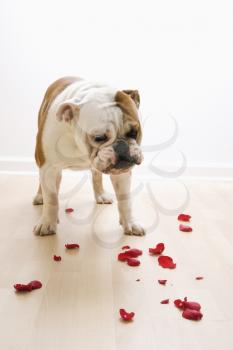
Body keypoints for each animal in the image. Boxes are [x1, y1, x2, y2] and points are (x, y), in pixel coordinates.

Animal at [33, 76, 144, 235]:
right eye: (99, 137)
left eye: (134, 132)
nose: (121, 146)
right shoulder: (48, 168)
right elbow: (51, 199)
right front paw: (47, 223)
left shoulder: (122, 173)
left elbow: (125, 200)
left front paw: (130, 223)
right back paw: (40, 196)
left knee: (96, 175)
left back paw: (101, 195)